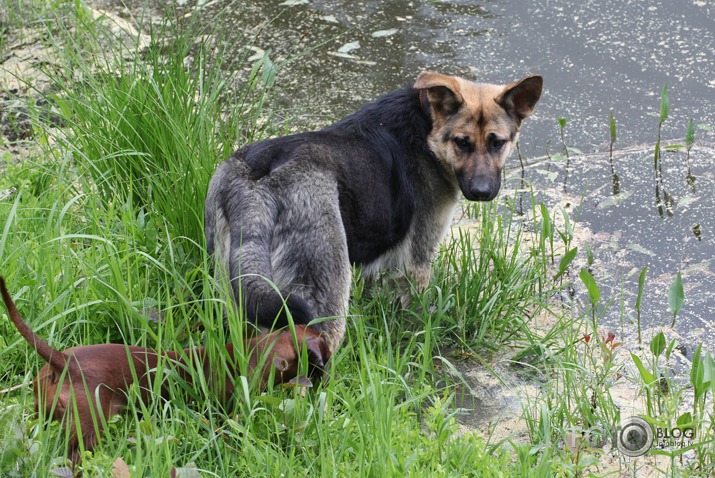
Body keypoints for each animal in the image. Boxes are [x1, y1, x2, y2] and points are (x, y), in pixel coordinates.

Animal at [206, 73, 544, 352]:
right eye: (462, 143)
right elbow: (413, 314)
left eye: (497, 143)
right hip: (324, 297)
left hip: (236, 292)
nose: (481, 191)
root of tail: (260, 181)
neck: (427, 127)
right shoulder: (417, 263)